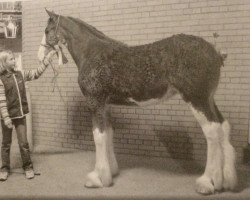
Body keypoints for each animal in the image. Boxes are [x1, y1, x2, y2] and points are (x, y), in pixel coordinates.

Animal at [38, 9, 237, 195]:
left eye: (47, 30)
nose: (40, 56)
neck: (91, 53)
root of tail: (216, 52)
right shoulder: (105, 105)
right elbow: (109, 133)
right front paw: (111, 172)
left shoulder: (95, 102)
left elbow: (99, 137)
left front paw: (97, 178)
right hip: (208, 99)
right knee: (223, 126)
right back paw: (226, 180)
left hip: (197, 99)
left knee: (212, 131)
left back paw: (207, 182)